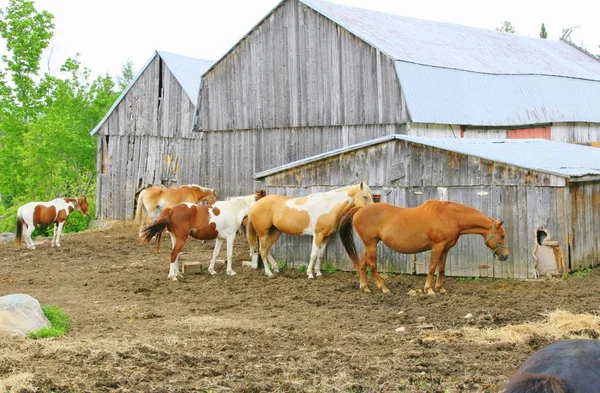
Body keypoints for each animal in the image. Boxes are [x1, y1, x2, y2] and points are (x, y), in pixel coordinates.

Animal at [340, 201, 508, 292]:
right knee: (372, 265)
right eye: (502, 235)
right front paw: (429, 289)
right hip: (371, 244)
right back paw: (384, 288)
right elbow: (432, 267)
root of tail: (360, 209)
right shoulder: (437, 246)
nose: (506, 255)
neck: (451, 217)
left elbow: (441, 268)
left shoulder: (446, 248)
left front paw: (440, 288)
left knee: (362, 264)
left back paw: (365, 287)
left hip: (370, 244)